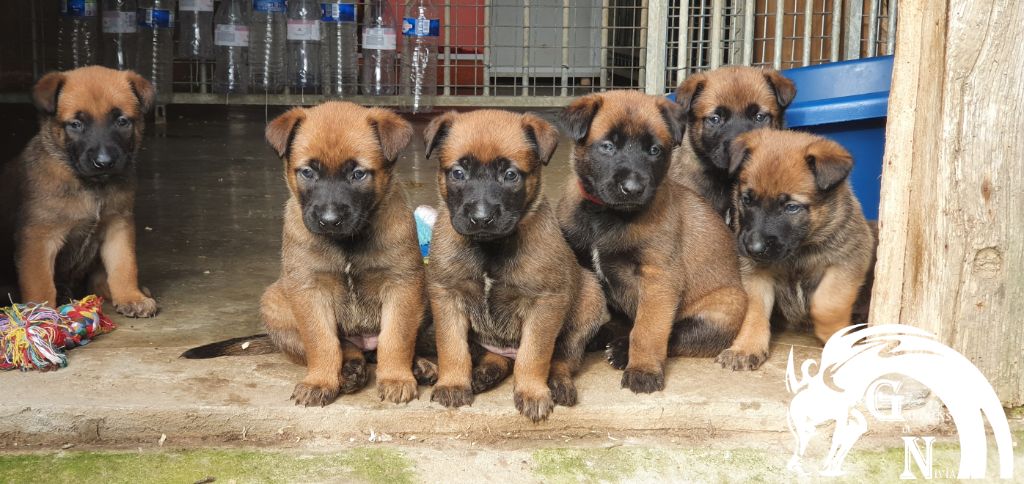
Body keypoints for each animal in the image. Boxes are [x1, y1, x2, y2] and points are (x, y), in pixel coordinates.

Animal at [2, 67, 157, 317]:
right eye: (75, 124)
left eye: (122, 121)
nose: (104, 162)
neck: (92, 187)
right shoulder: (38, 237)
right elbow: (40, 283)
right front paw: (41, 315)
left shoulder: (118, 225)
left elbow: (124, 265)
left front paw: (131, 297)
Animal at [423, 109, 606, 419]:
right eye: (458, 173)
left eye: (510, 175)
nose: (481, 218)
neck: (490, 247)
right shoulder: (446, 295)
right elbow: (452, 347)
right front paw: (453, 384)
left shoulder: (545, 303)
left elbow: (534, 355)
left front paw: (532, 392)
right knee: (493, 357)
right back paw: (474, 373)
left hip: (590, 299)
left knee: (562, 359)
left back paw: (558, 385)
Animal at [557, 90, 749, 392]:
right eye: (607, 146)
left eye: (655, 150)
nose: (633, 188)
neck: (607, 216)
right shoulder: (584, 264)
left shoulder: (659, 278)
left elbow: (647, 330)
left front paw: (642, 370)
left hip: (721, 307)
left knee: (675, 335)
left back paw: (621, 351)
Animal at [724, 128, 876, 366]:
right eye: (747, 200)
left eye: (791, 207)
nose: (753, 248)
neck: (798, 252)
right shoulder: (755, 272)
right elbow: (754, 310)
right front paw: (746, 347)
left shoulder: (849, 259)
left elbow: (827, 302)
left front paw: (833, 335)